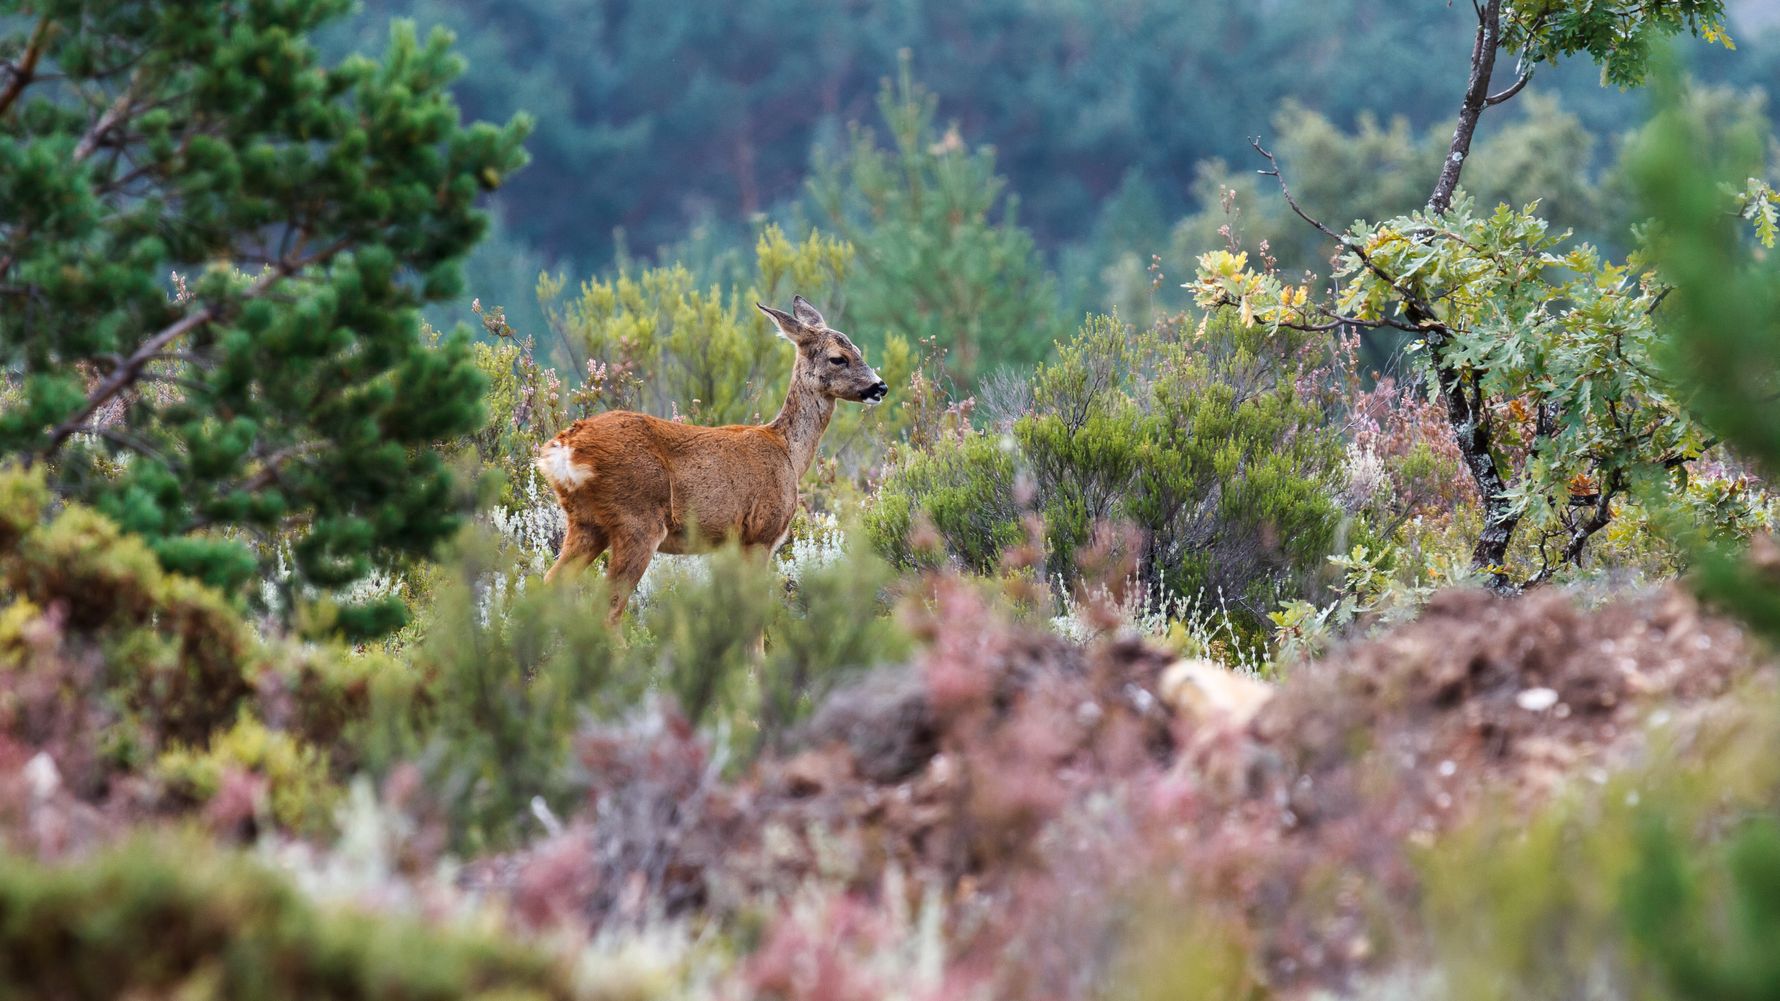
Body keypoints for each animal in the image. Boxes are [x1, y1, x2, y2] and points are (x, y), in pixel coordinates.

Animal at [534, 295, 888, 623]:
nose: (880, 386)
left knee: (548, 585)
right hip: (636, 520)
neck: (789, 453)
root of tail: (564, 447)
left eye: (858, 350)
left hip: (585, 522)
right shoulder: (761, 533)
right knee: (608, 609)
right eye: (838, 358)